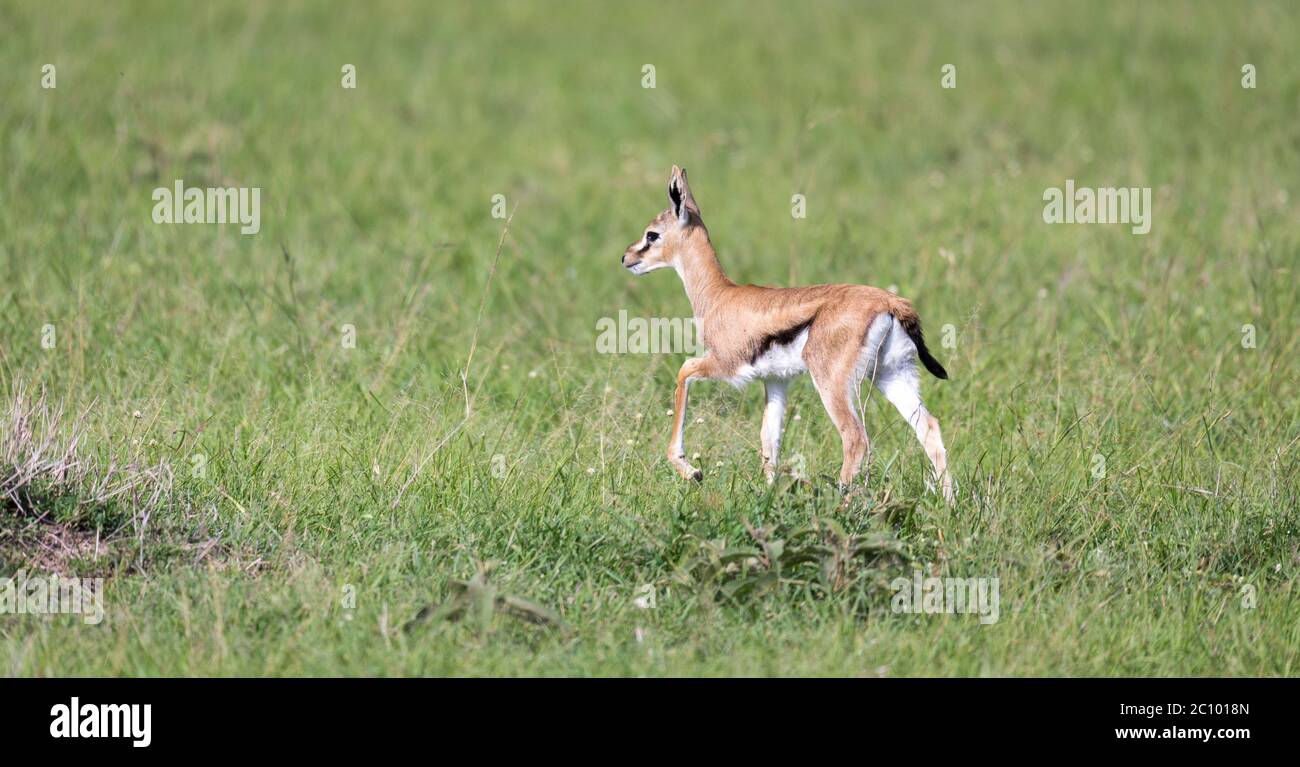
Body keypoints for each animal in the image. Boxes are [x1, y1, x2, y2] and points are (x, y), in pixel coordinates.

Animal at [621, 166, 955, 503]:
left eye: (652, 234)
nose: (627, 258)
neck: (719, 296)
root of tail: (891, 302)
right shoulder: (776, 379)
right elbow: (769, 439)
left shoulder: (725, 365)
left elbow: (683, 370)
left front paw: (692, 471)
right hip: (891, 375)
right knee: (929, 427)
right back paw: (949, 504)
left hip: (833, 383)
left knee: (855, 437)